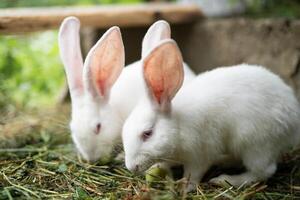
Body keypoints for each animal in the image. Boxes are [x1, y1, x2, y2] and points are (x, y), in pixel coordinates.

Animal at [122, 39, 300, 191]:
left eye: (147, 133)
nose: (131, 167)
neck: (178, 125)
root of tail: (293, 116)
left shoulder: (200, 153)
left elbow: (193, 174)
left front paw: (184, 187)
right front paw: (156, 169)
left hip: (256, 145)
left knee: (263, 171)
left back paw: (225, 180)